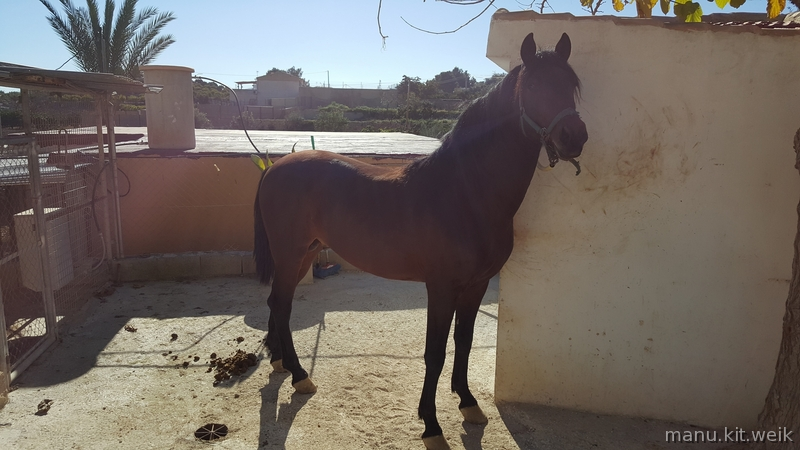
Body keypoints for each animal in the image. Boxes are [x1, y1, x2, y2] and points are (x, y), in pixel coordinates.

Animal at [253, 32, 587, 450]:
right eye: (535, 86)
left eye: (571, 85)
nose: (576, 137)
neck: (467, 192)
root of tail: (275, 167)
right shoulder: (441, 287)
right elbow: (435, 353)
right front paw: (431, 424)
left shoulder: (476, 285)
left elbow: (464, 341)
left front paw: (469, 403)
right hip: (290, 254)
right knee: (282, 306)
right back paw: (300, 376)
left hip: (303, 255)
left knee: (275, 302)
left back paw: (281, 362)